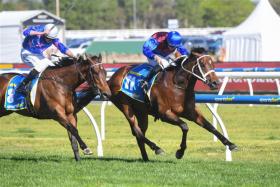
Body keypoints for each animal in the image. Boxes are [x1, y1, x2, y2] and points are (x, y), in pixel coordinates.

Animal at [108, 50, 237, 161]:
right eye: (202, 64)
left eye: (213, 64)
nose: (215, 83)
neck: (178, 85)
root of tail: (113, 77)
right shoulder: (164, 114)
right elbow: (185, 126)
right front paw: (180, 152)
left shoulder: (191, 112)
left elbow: (210, 126)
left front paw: (230, 144)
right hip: (125, 107)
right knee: (137, 130)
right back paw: (157, 148)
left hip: (141, 112)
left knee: (140, 133)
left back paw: (146, 158)